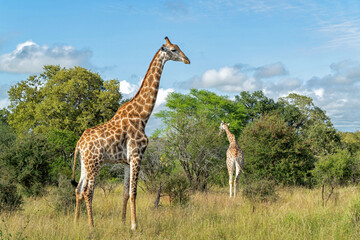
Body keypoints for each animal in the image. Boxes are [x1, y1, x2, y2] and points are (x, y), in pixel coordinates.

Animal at [69, 36, 188, 230]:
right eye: (173, 50)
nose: (187, 60)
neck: (142, 116)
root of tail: (79, 143)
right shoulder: (137, 155)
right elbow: (134, 193)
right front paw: (134, 225)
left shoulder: (126, 161)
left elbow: (125, 193)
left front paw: (123, 222)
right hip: (95, 163)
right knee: (88, 192)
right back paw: (92, 226)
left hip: (84, 163)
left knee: (78, 189)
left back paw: (76, 223)